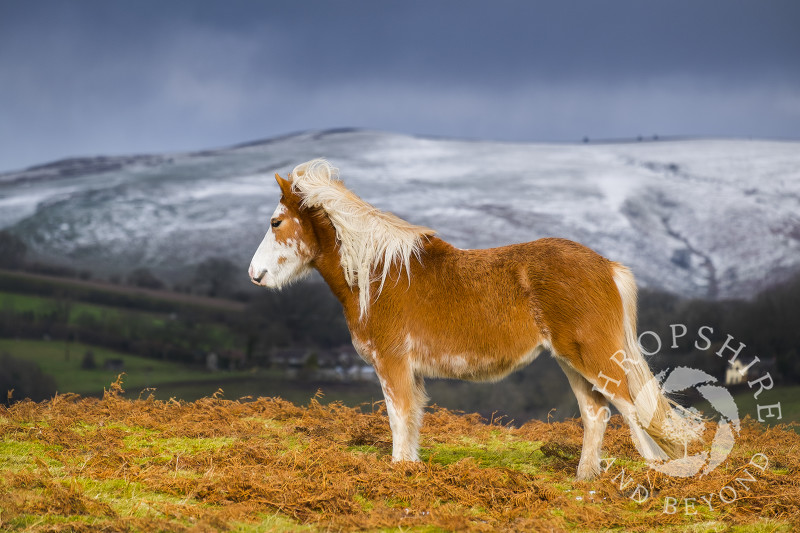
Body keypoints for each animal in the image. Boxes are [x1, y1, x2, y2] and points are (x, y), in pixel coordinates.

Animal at [248, 158, 688, 478]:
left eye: (275, 222)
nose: (255, 274)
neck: (376, 274)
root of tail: (607, 266)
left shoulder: (392, 364)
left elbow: (397, 418)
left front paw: (398, 473)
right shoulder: (410, 371)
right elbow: (411, 422)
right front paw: (411, 469)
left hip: (595, 357)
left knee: (633, 411)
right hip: (571, 361)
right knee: (596, 414)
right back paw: (585, 479)